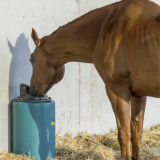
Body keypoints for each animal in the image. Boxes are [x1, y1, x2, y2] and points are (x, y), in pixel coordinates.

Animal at [29, 0, 160, 159]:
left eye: (31, 60)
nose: (31, 90)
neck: (106, 27)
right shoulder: (138, 95)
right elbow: (136, 133)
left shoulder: (117, 90)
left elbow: (124, 134)